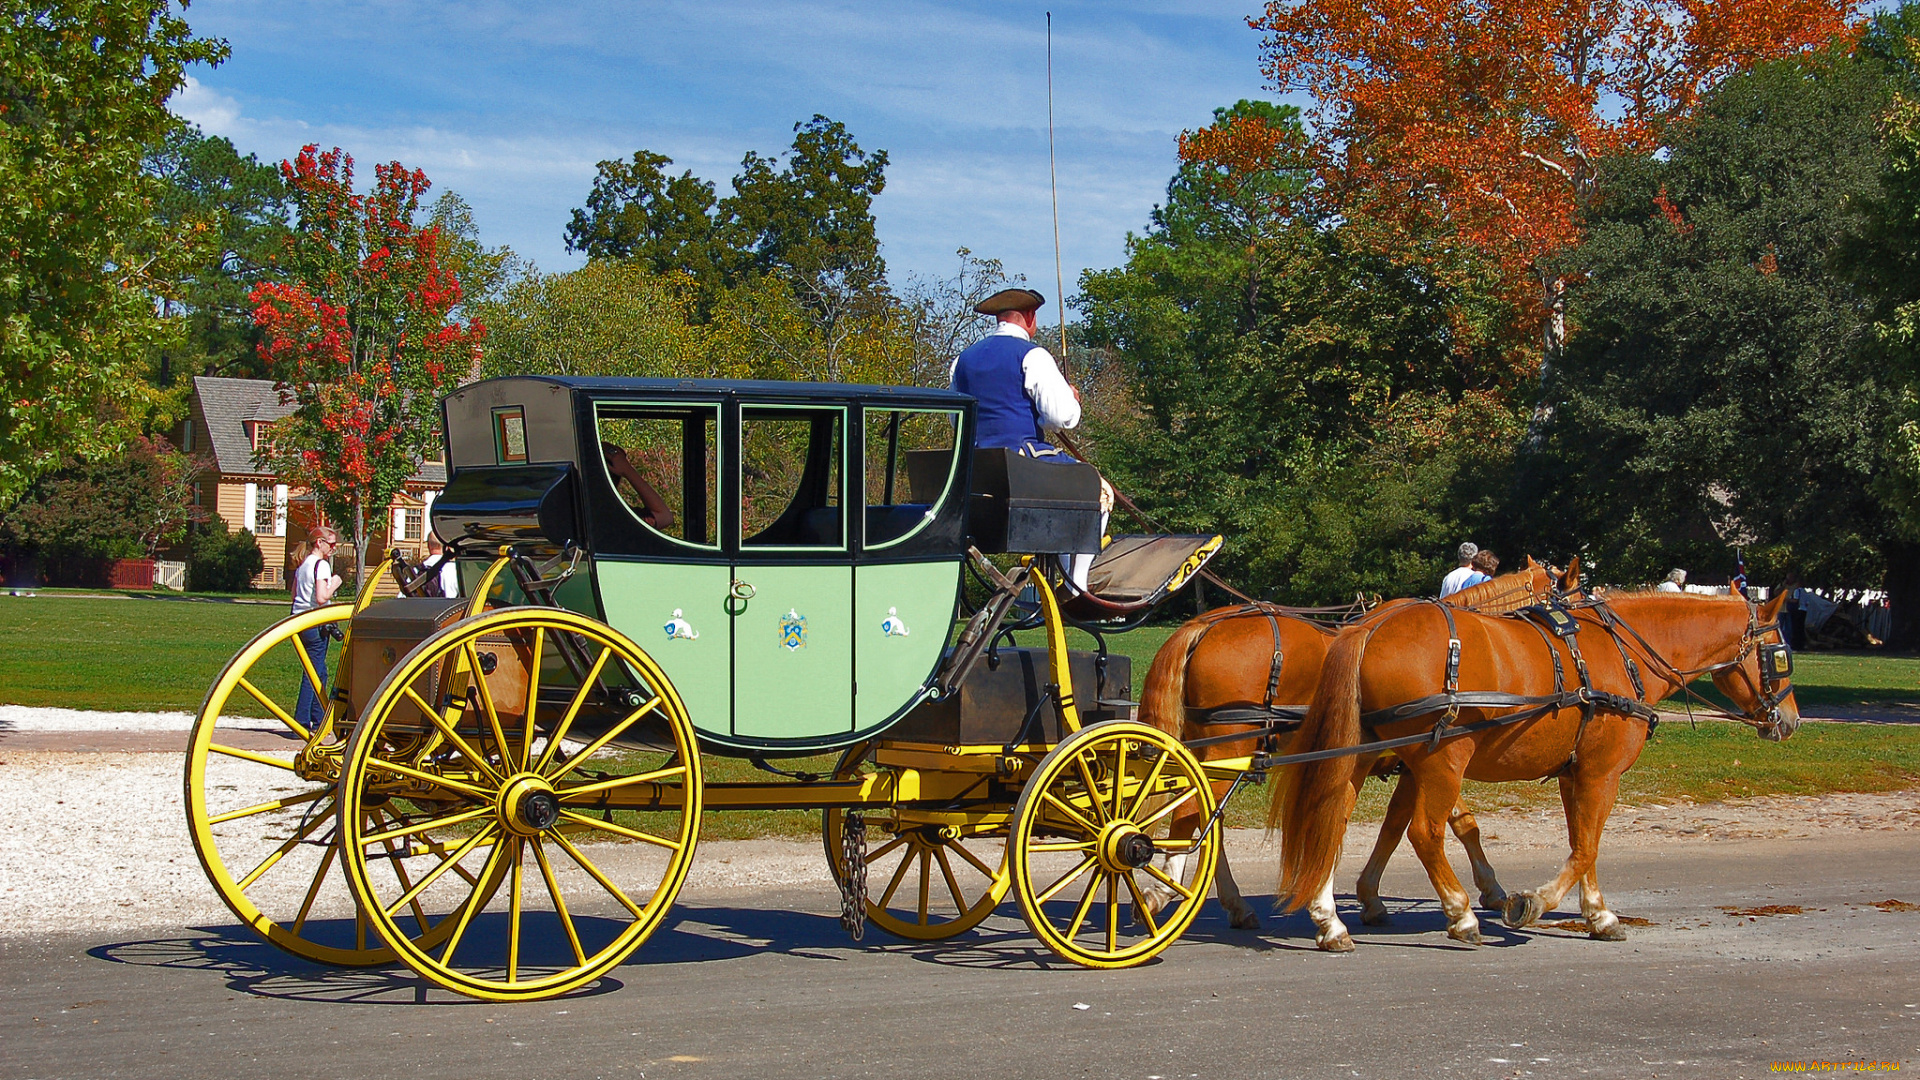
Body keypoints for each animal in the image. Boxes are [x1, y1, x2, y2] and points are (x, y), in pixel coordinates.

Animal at [1128, 557, 1566, 922]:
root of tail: (1203, 625)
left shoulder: (1418, 763)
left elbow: (1406, 825)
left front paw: (1371, 895)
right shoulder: (1428, 759)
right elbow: (1449, 824)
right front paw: (1488, 890)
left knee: (1198, 814)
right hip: (1226, 748)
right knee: (1195, 814)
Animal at [1274, 584, 1797, 945]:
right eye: (1781, 656)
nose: (1789, 720)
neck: (1623, 653)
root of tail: (1370, 625)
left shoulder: (1574, 772)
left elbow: (1582, 842)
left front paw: (1596, 913)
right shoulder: (1601, 773)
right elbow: (1586, 846)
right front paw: (1538, 903)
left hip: (1361, 756)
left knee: (1331, 820)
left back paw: (1329, 920)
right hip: (1442, 758)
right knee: (1425, 832)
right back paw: (1460, 913)